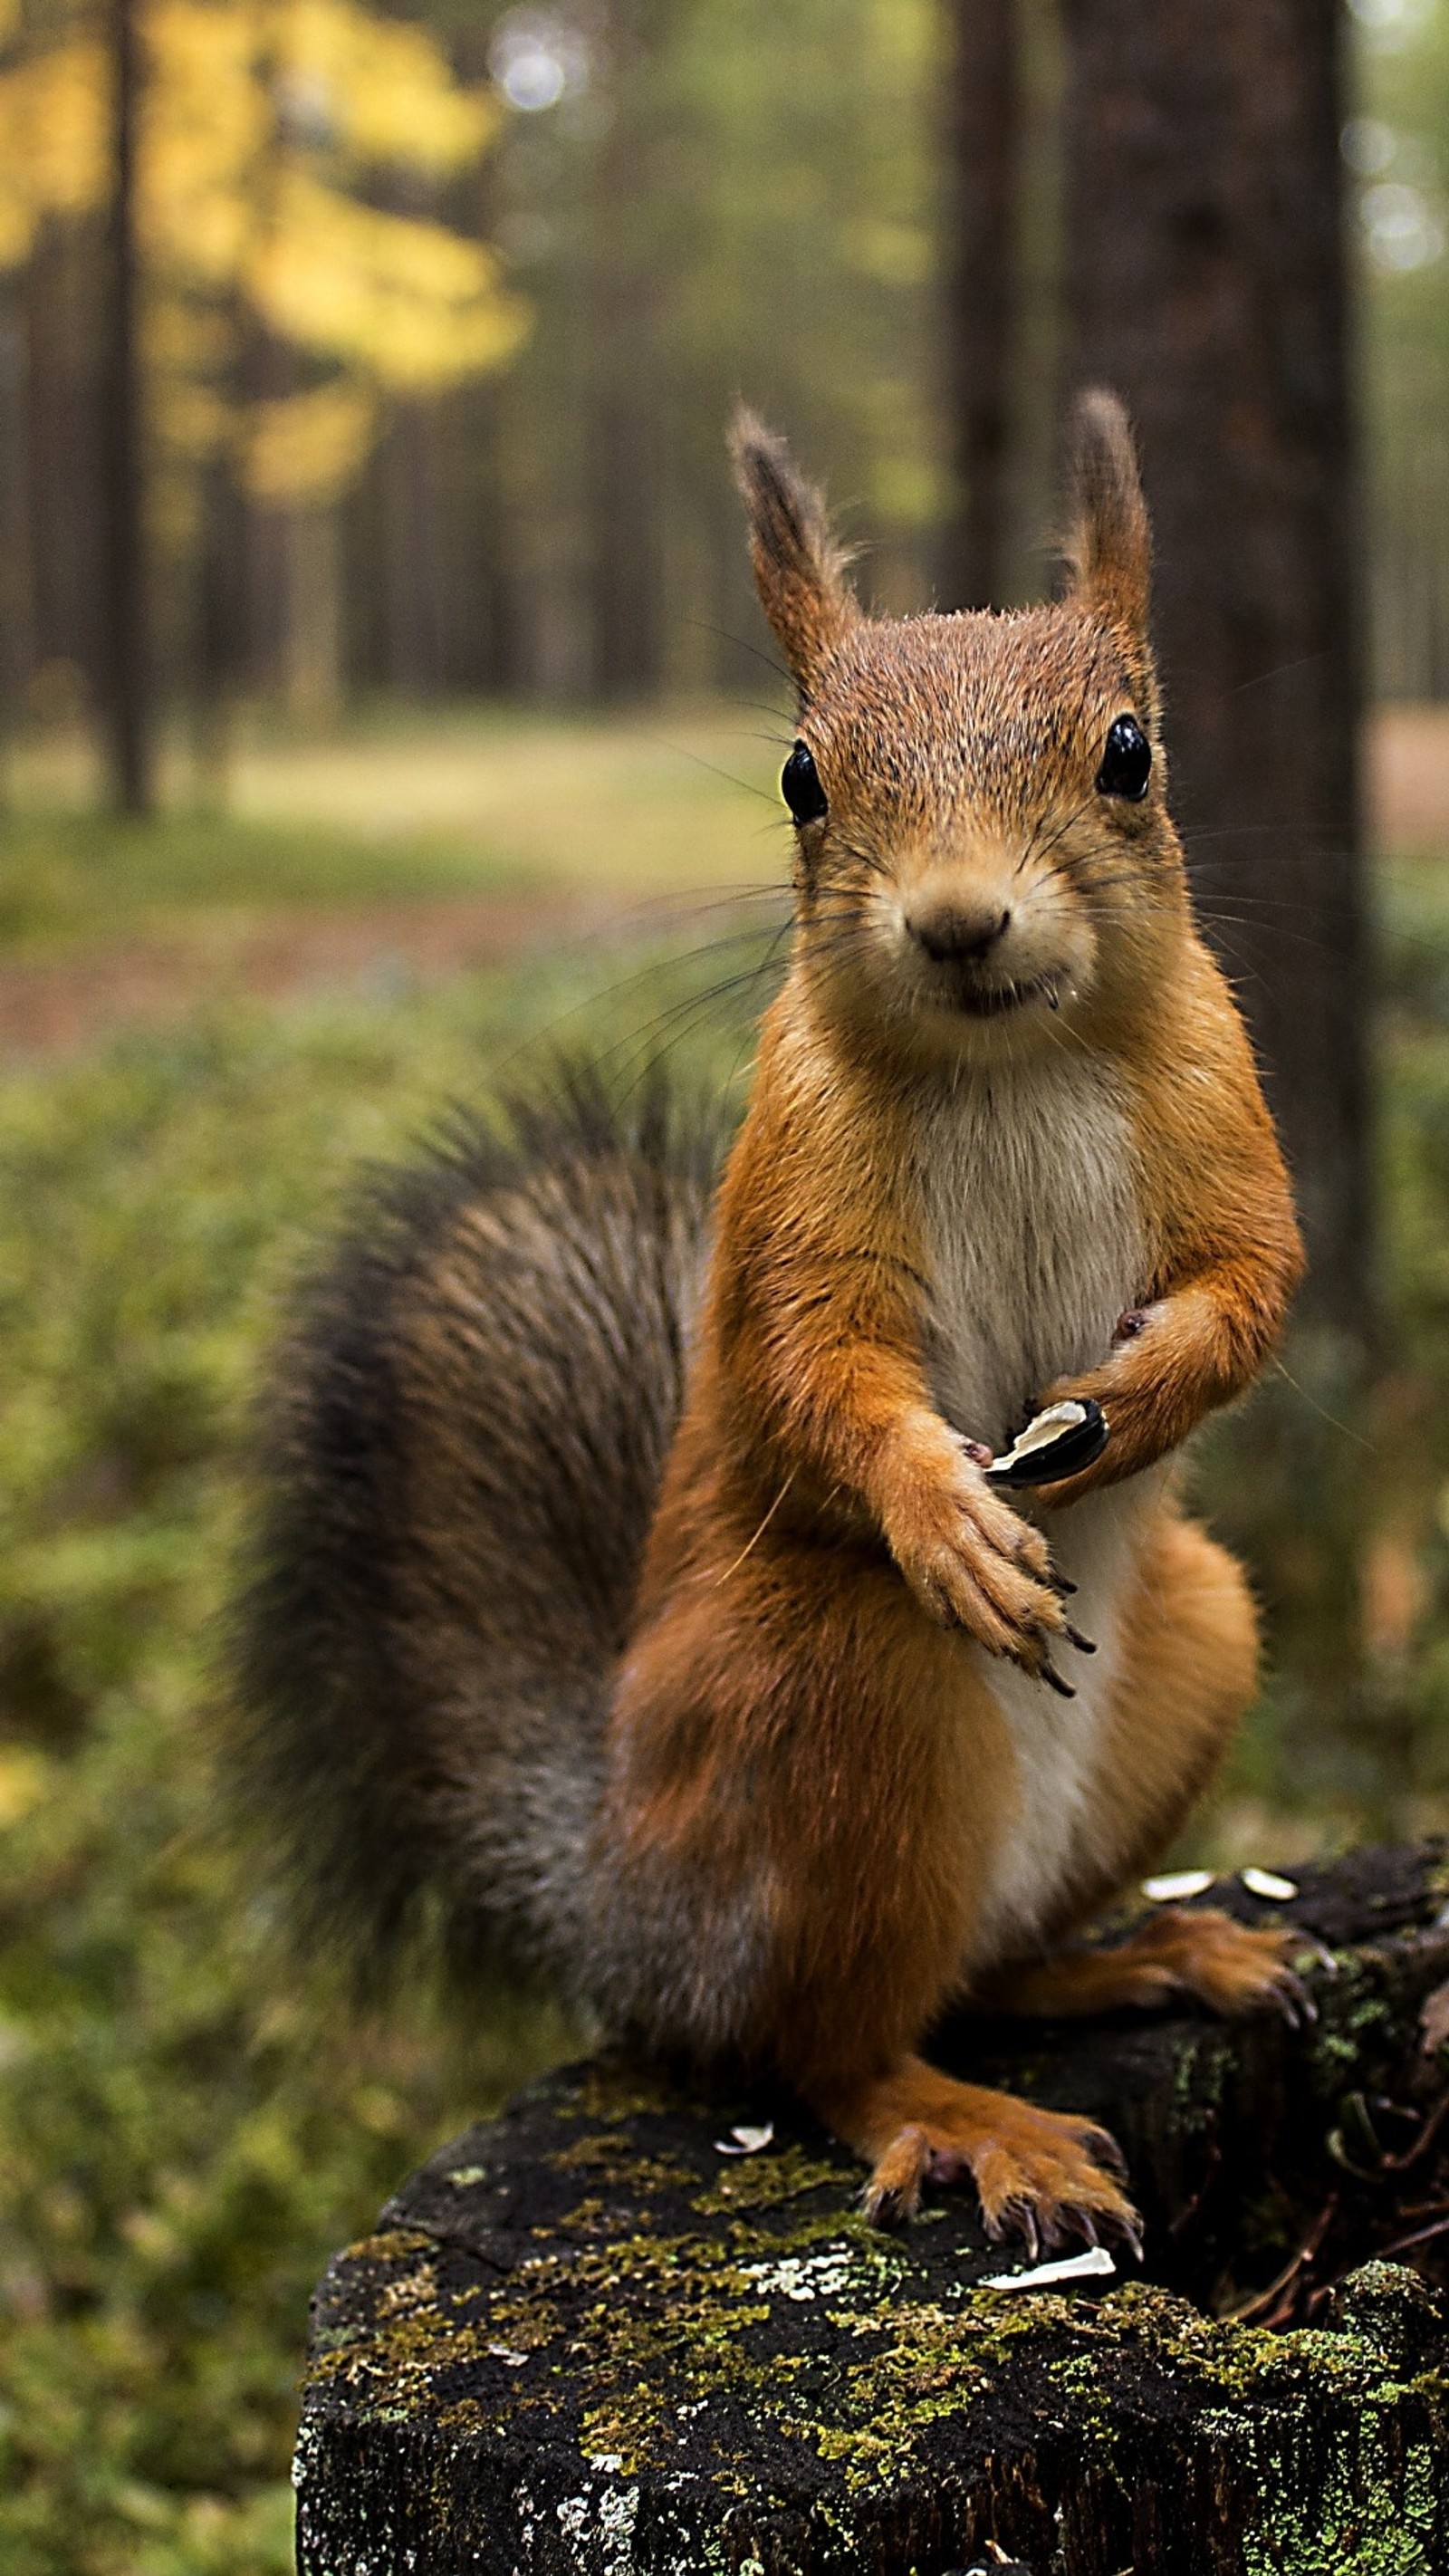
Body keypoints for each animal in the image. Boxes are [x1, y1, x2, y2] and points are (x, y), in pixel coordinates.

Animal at [235, 391, 1302, 2266]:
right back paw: (971, 2120)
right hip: (838, 1695)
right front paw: (948, 1509)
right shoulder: (796, 1196)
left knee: (987, 1967)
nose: (959, 919)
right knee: (827, 2042)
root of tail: (624, 1904)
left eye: (1129, 750)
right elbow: (816, 1372)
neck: (1011, 1060)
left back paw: (1151, 1948)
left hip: (1198, 1638)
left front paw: (1134, 1397)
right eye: (804, 776)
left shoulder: (1225, 1116)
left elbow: (1252, 1285)